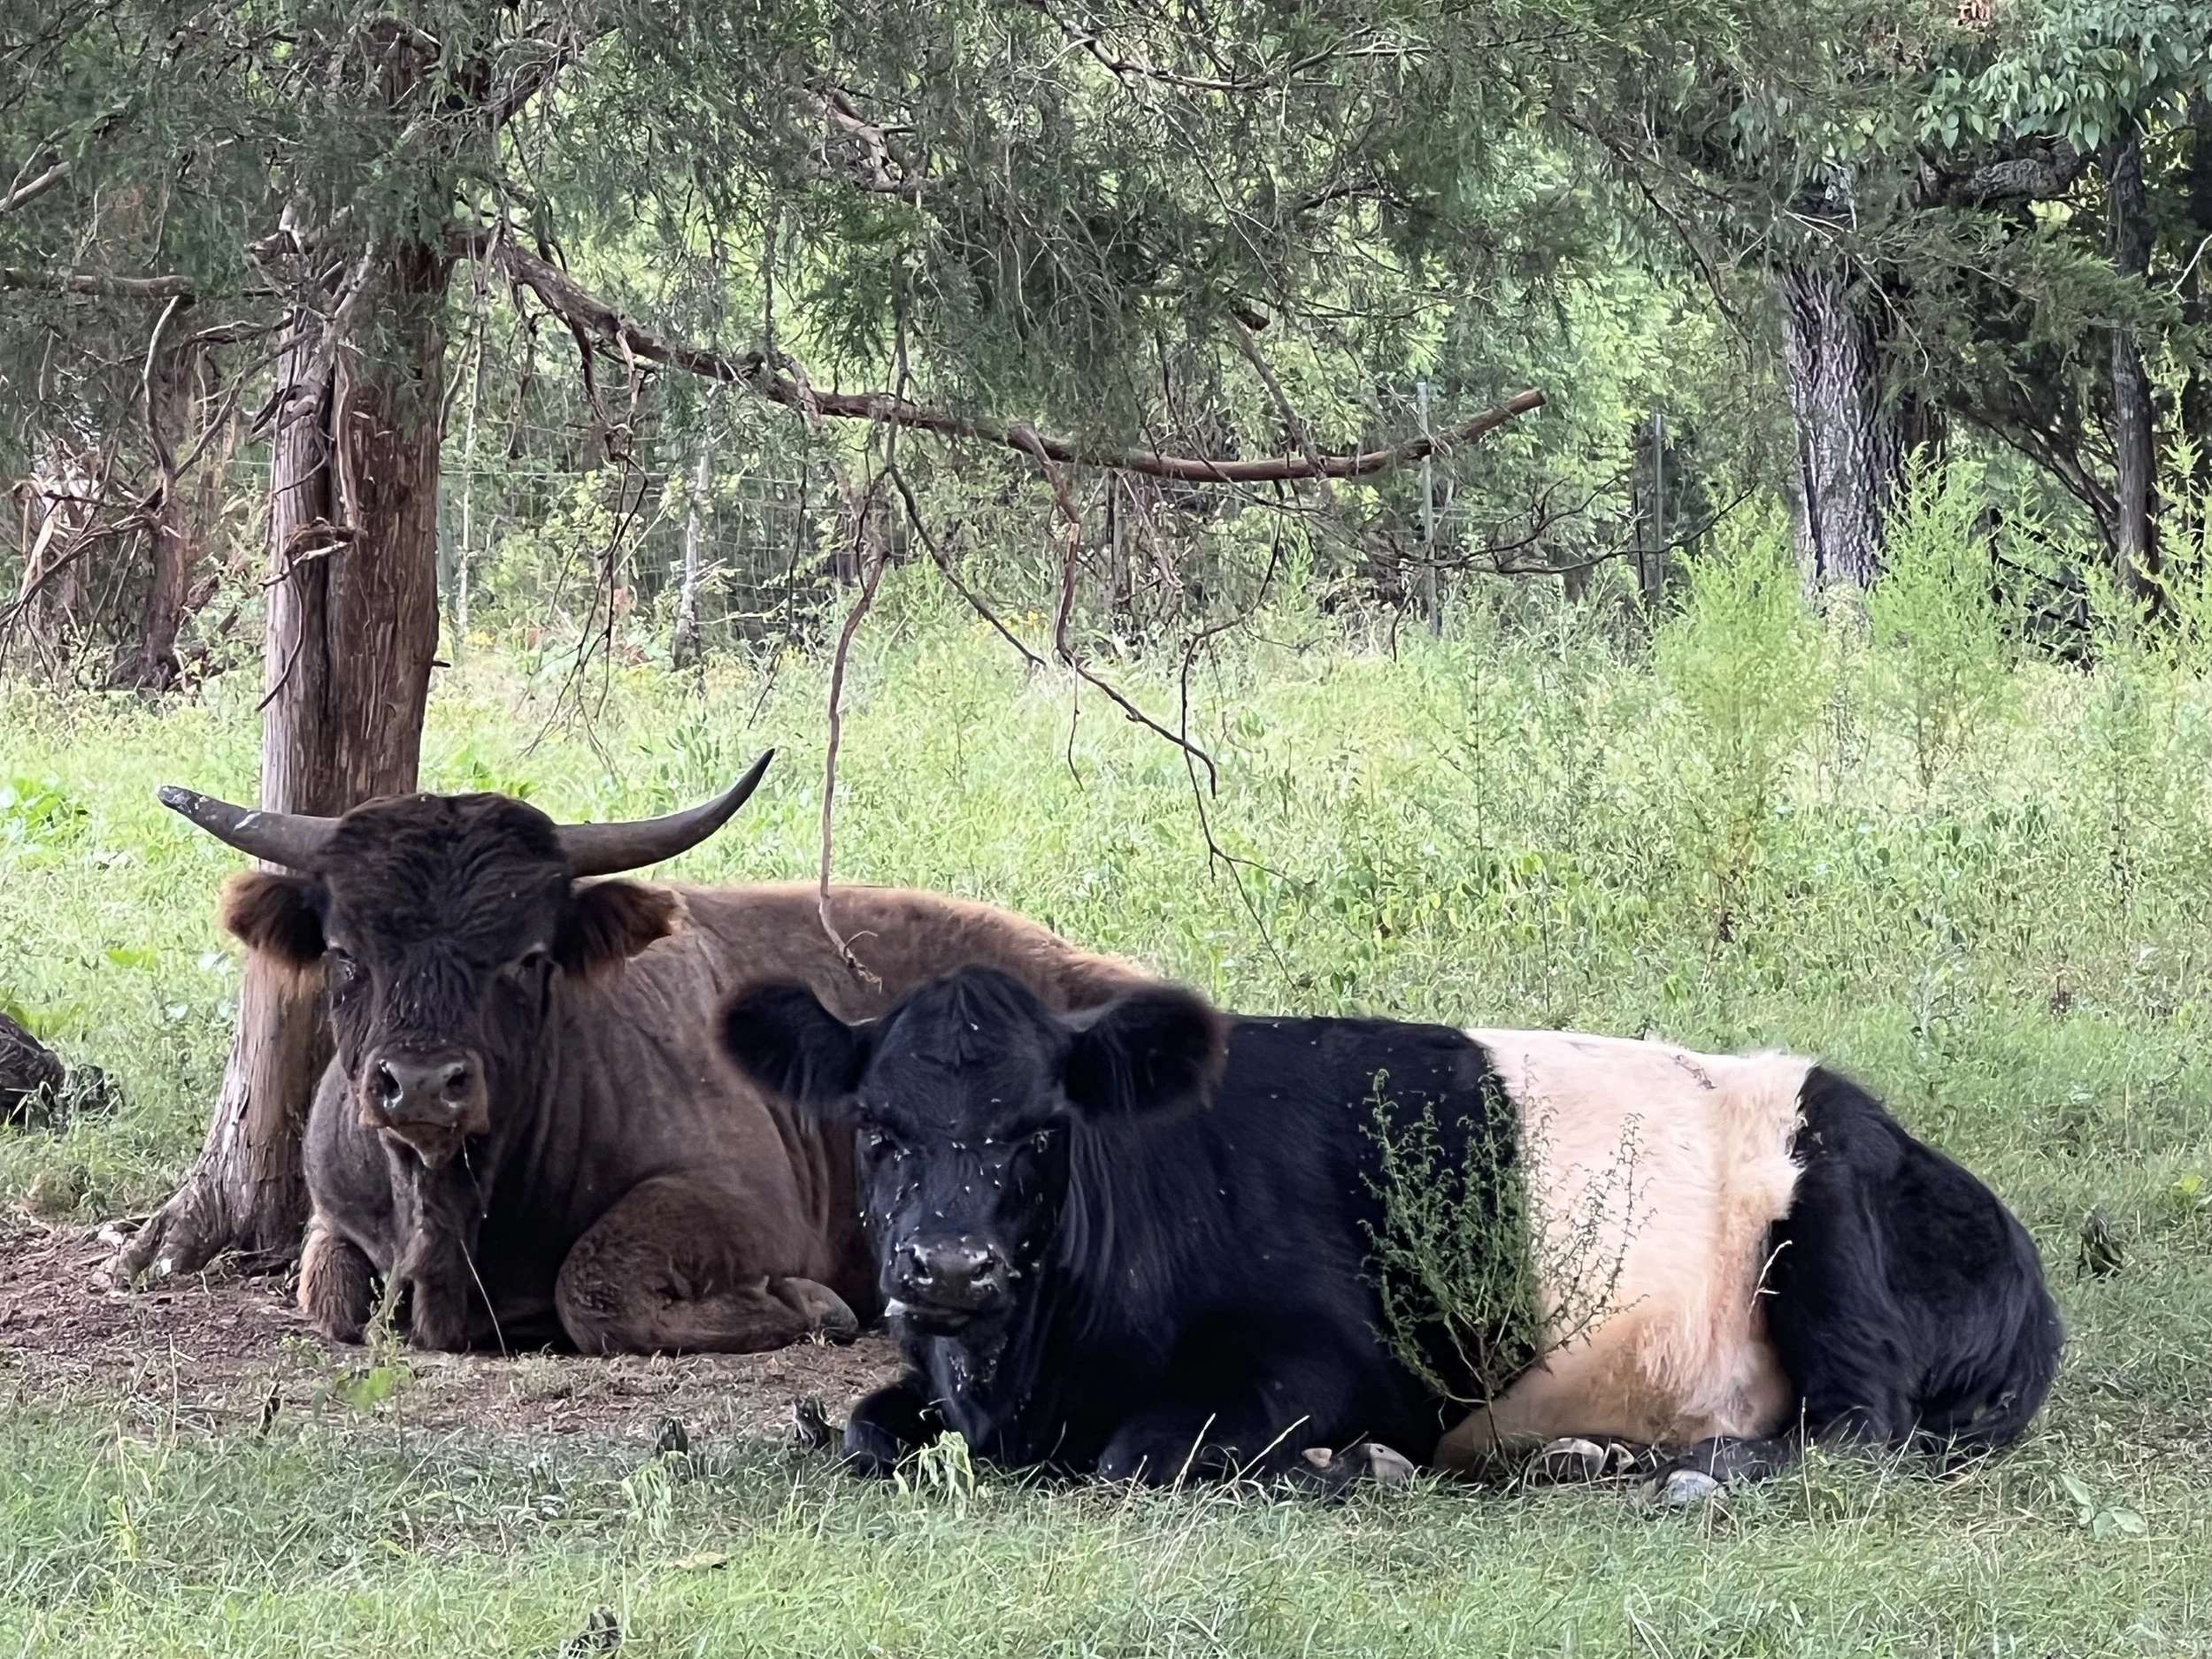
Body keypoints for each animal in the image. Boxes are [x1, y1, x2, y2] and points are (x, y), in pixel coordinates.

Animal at [160, 760, 1145, 1355]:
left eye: (528, 956)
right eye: (345, 953)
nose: (424, 1087)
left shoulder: (739, 1201)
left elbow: (593, 1284)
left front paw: (805, 1303)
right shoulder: (333, 1222)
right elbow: (334, 1301)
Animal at [717, 964, 2060, 1490]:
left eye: (1043, 1129)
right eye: (876, 1123)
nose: (949, 1265)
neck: (1025, 1386)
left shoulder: (1327, 1359)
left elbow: (1140, 1451)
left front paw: (1349, 1462)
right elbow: (866, 1428)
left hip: (1823, 1232)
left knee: (1857, 1428)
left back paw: (1704, 1466)